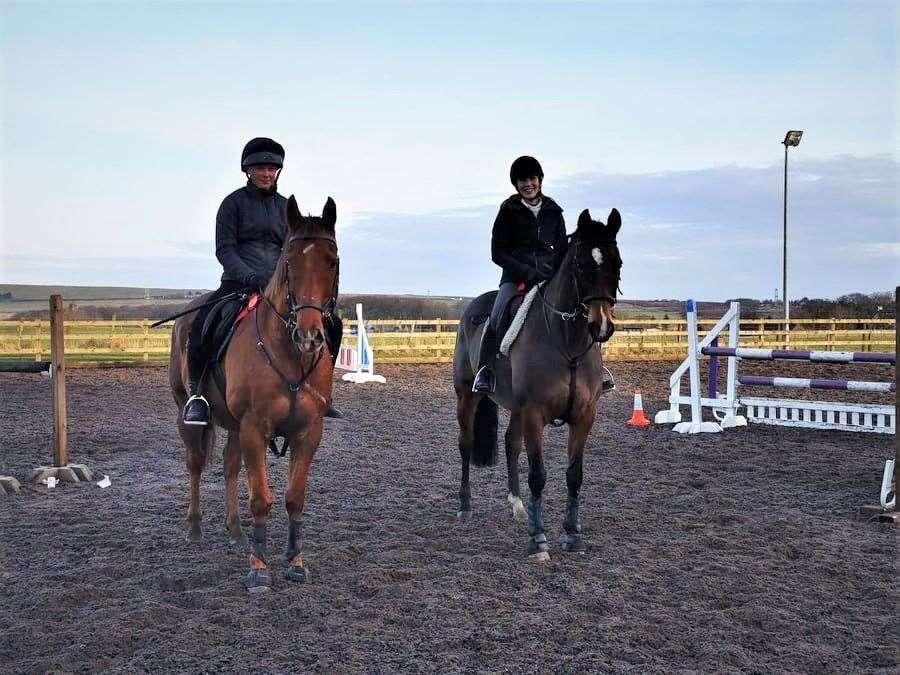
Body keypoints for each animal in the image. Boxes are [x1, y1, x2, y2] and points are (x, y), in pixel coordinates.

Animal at [167, 195, 340, 592]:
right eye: (289, 261)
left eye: (332, 260)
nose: (309, 336)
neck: (289, 353)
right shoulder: (254, 428)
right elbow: (261, 499)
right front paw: (259, 568)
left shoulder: (308, 432)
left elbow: (294, 498)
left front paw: (295, 561)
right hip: (190, 413)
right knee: (195, 464)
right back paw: (195, 528)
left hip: (233, 426)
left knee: (230, 465)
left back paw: (236, 532)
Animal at [454, 209, 624, 564]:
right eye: (580, 265)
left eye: (617, 263)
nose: (601, 326)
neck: (567, 345)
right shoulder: (535, 414)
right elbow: (538, 475)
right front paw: (538, 540)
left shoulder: (584, 416)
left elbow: (574, 474)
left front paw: (572, 535)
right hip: (467, 396)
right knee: (466, 443)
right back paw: (465, 506)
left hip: (516, 408)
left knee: (510, 443)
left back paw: (517, 506)